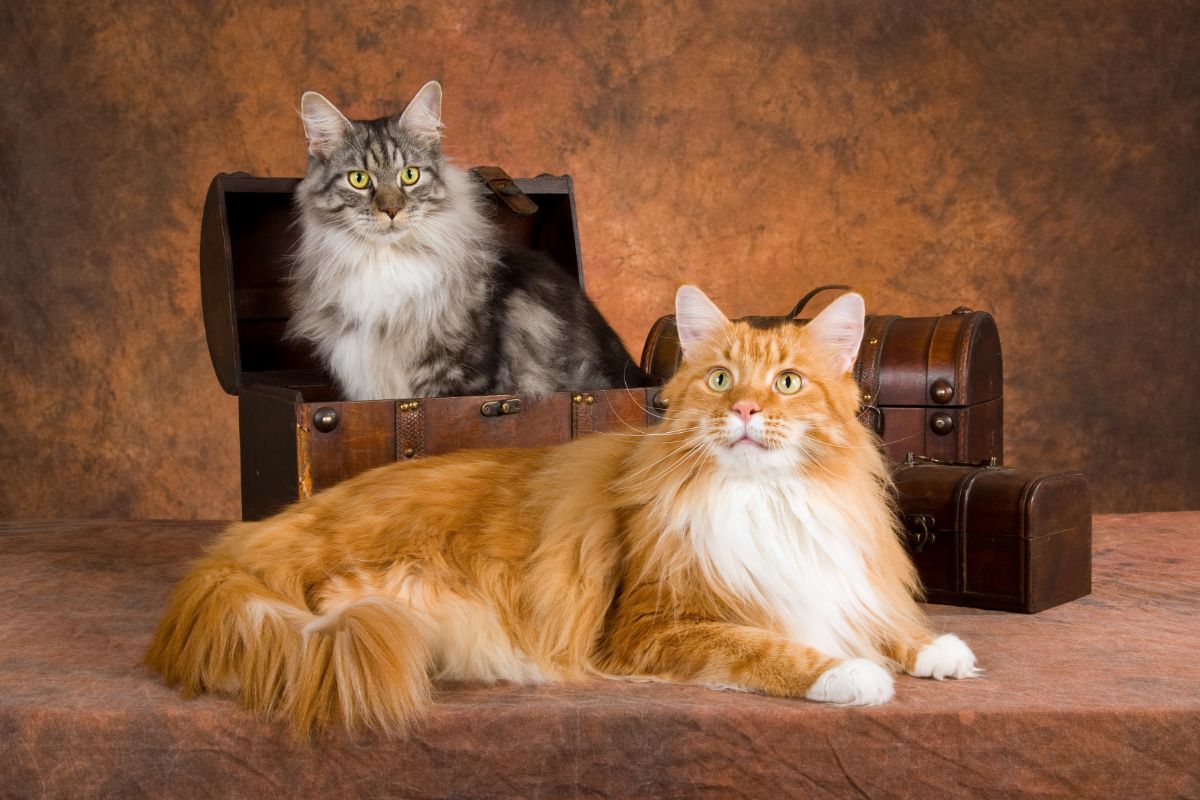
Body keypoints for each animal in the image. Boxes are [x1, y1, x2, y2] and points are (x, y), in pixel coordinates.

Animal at [147, 284, 974, 734]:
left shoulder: (836, 577)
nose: (743, 409)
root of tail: (248, 542)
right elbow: (770, 649)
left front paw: (935, 651)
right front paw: (852, 674)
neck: (765, 499)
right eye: (719, 378)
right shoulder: (648, 627)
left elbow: (886, 623)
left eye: (789, 384)